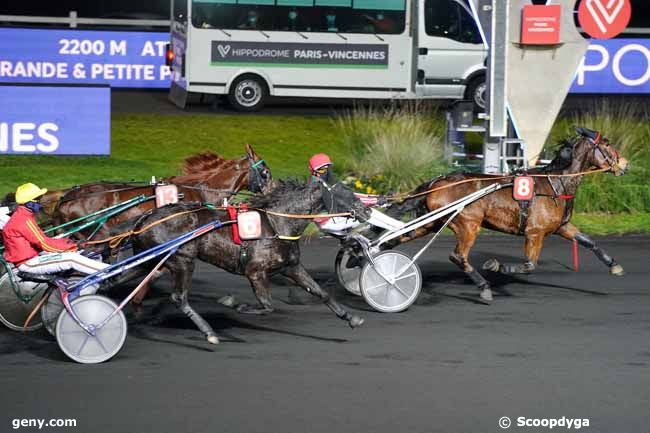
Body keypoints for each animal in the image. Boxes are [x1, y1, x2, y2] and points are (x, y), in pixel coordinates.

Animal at [130, 177, 364, 342]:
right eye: (346, 194)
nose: (367, 209)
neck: (276, 223)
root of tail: (145, 219)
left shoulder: (291, 267)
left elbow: (320, 292)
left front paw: (351, 318)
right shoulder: (255, 271)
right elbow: (267, 305)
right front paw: (237, 306)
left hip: (151, 261)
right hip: (182, 260)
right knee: (179, 297)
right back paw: (208, 332)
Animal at [388, 128, 624, 302]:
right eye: (607, 144)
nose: (624, 164)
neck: (555, 184)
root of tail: (436, 182)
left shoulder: (561, 227)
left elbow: (589, 242)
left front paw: (614, 265)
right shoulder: (535, 232)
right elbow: (529, 265)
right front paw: (496, 266)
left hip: (431, 222)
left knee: (397, 238)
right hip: (468, 224)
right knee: (458, 256)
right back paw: (484, 287)